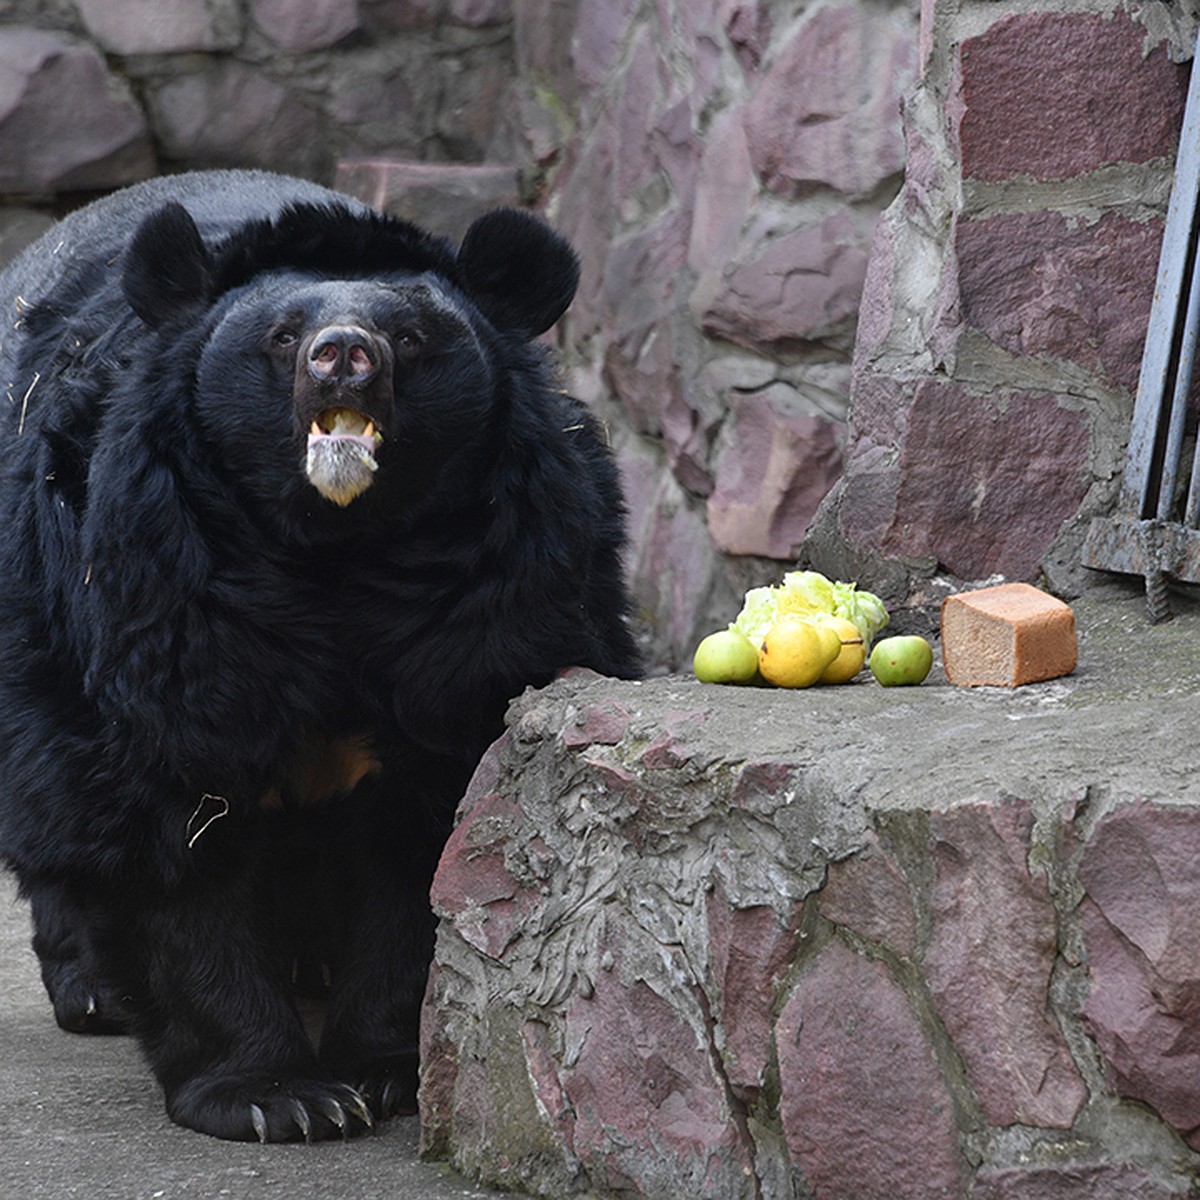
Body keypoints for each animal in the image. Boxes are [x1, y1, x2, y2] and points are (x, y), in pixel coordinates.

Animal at [0, 171, 638, 1142]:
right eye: (282, 336)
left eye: (408, 336)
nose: (344, 355)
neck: (334, 546)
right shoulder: (154, 576)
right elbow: (173, 817)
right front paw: (276, 1097)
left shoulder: (497, 595)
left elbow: (429, 828)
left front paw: (382, 1068)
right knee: (58, 792)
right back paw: (92, 989)